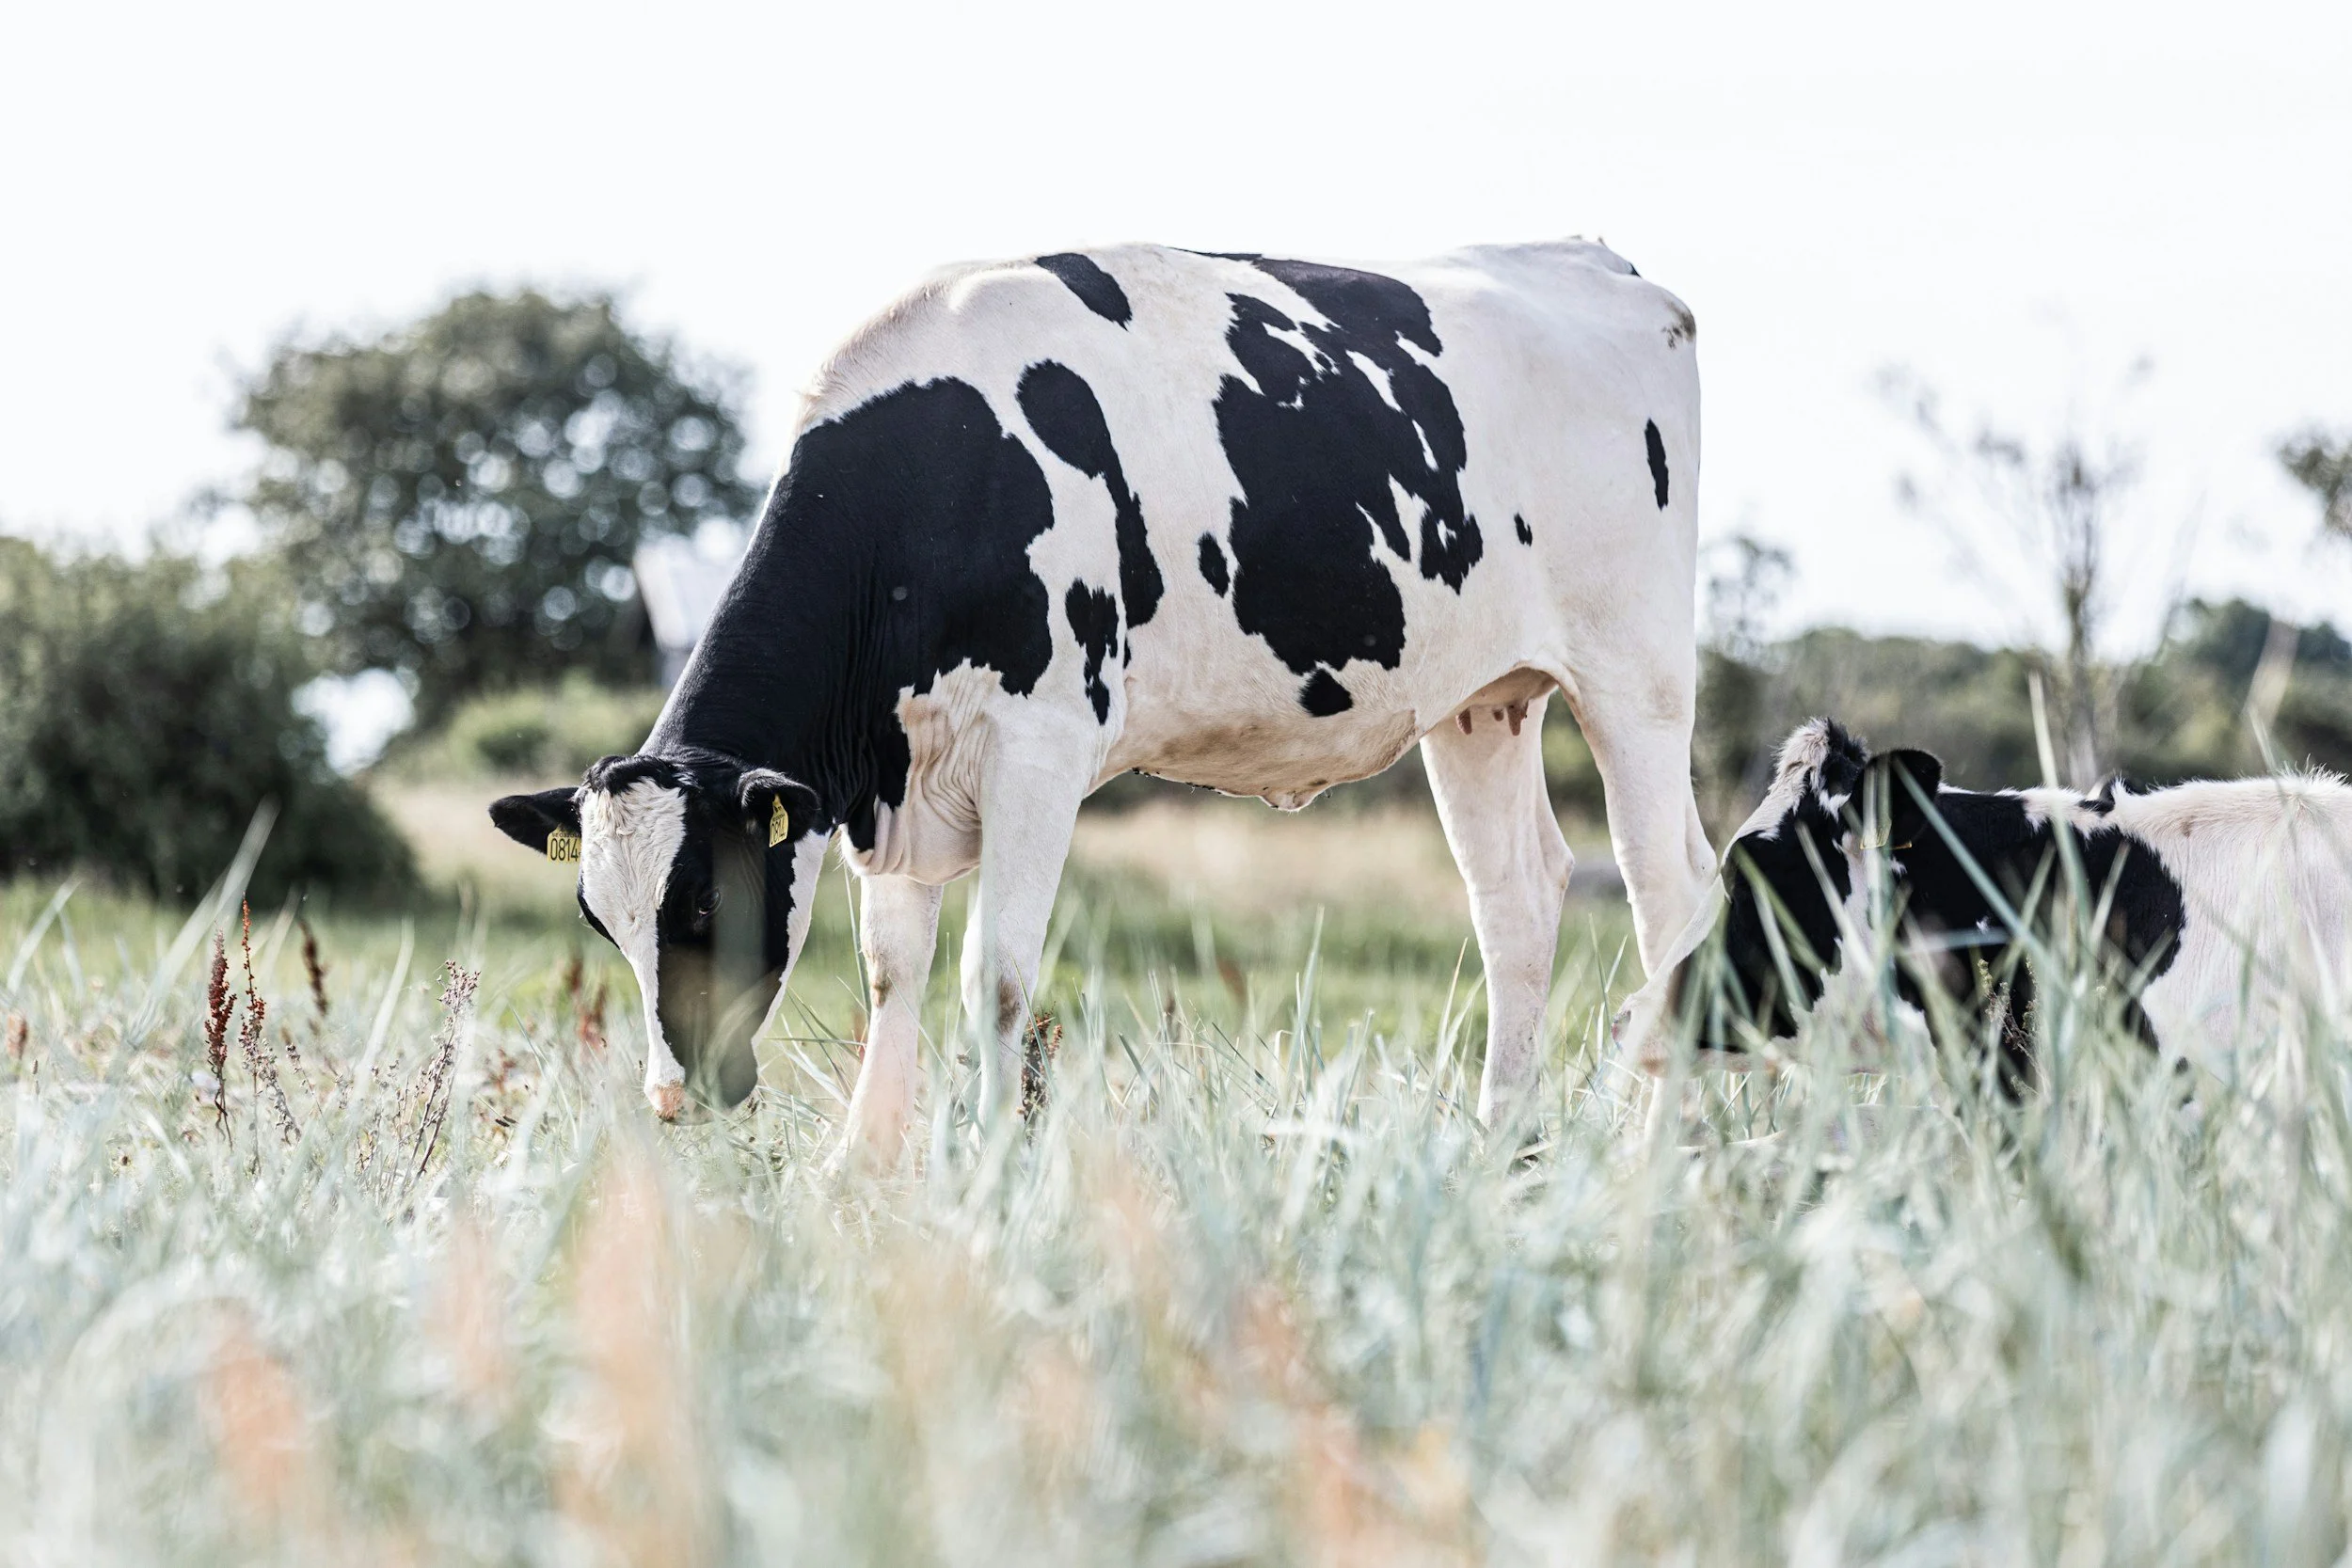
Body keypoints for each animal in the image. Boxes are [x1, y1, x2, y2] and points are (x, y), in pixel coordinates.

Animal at [491, 240, 1717, 1161]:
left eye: (702, 899)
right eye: (600, 916)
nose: (672, 1097)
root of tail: (1591, 258)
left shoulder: (1036, 745)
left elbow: (994, 974)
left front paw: (987, 1160)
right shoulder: (896, 773)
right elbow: (894, 969)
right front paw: (862, 1163)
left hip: (1637, 674)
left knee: (1670, 891)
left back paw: (1658, 1146)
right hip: (1479, 698)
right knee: (1519, 898)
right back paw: (1499, 1143)